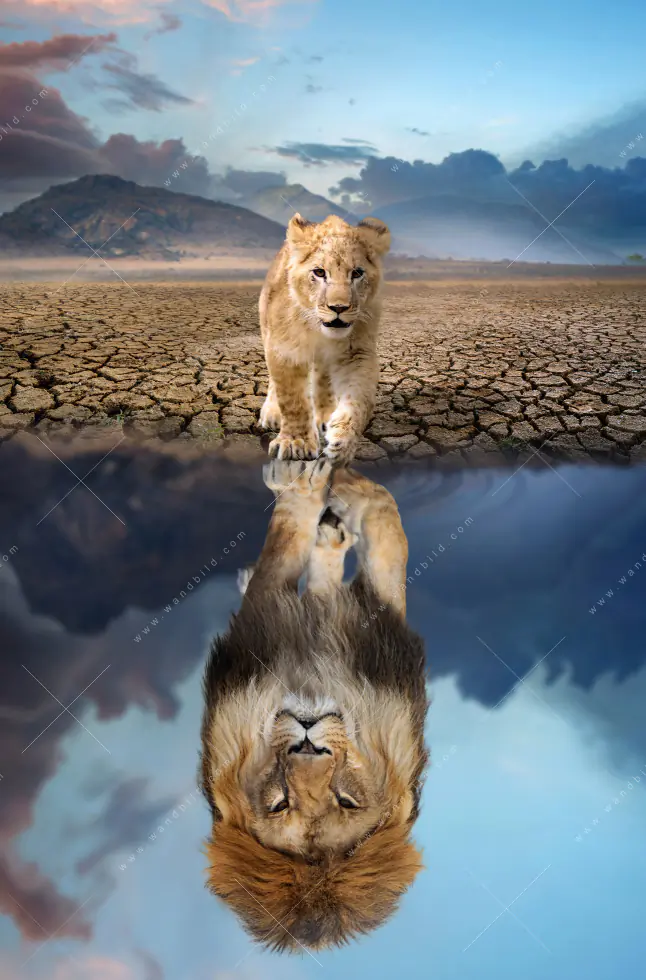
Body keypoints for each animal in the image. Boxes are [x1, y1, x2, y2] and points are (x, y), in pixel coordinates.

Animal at [199, 459, 429, 952]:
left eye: (345, 800)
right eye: (280, 804)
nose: (308, 744)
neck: (312, 679)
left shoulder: (379, 633)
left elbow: (384, 537)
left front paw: (327, 491)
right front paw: (317, 489)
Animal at [258, 213, 391, 465]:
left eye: (357, 273)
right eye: (319, 272)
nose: (338, 308)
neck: (318, 330)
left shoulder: (357, 352)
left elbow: (360, 399)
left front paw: (343, 440)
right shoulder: (284, 350)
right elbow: (292, 399)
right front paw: (295, 442)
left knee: (323, 378)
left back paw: (325, 417)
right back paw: (271, 413)